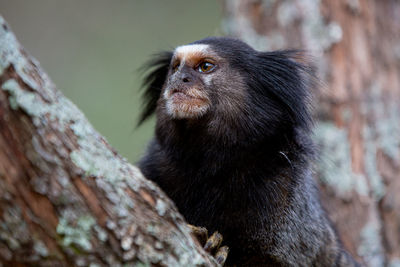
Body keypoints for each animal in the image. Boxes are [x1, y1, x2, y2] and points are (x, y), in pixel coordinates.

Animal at [138, 36, 360, 266]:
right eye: (175, 68)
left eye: (205, 66)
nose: (179, 79)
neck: (209, 163)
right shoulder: (155, 166)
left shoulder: (285, 189)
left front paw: (215, 247)